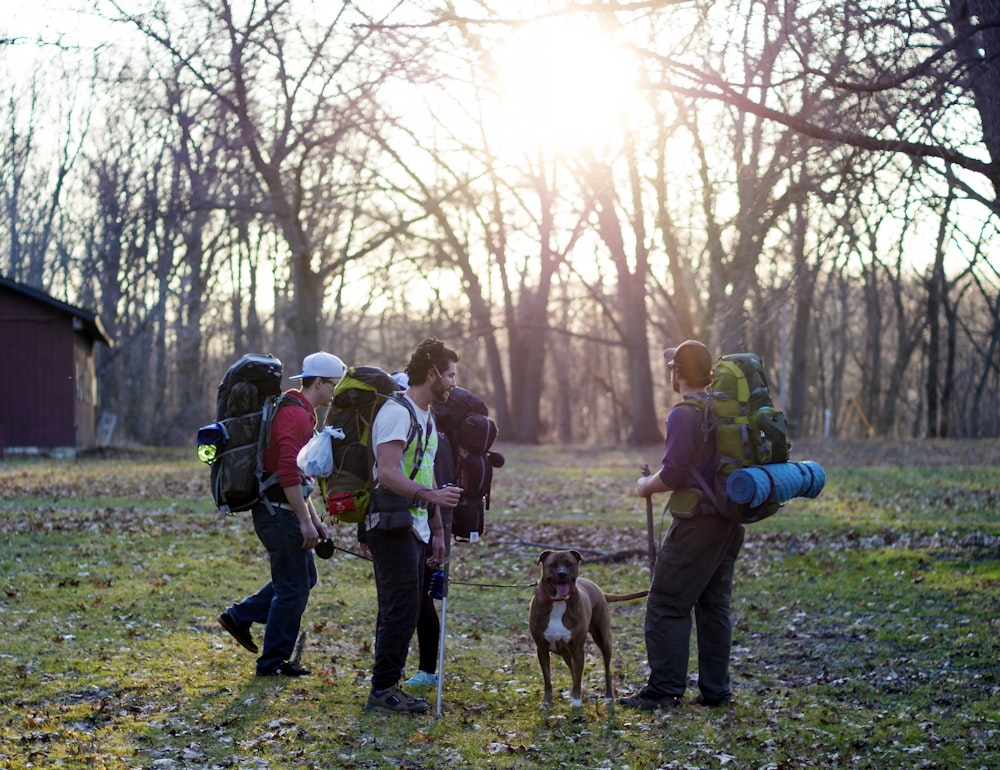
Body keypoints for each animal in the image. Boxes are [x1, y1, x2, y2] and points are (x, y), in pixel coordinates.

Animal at [532, 548, 648, 704]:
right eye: (553, 564)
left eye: (569, 563)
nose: (562, 573)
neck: (558, 601)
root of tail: (598, 589)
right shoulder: (542, 649)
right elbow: (548, 679)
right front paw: (547, 701)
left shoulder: (578, 649)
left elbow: (578, 677)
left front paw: (576, 702)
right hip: (566, 652)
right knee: (572, 668)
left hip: (604, 639)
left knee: (607, 669)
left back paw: (608, 697)